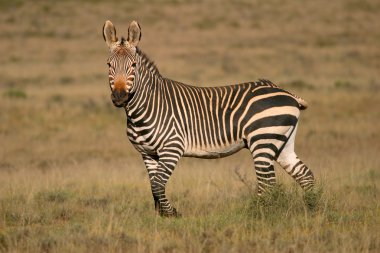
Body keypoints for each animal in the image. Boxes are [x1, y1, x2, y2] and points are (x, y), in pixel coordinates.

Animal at [101, 20, 314, 217]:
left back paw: (258, 215)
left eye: (133, 65)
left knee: (267, 183)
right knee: (304, 175)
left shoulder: (172, 148)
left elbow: (159, 184)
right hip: (282, 142)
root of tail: (286, 93)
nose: (119, 97)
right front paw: (160, 218)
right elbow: (154, 187)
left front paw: (172, 214)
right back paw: (312, 209)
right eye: (109, 65)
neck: (147, 106)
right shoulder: (147, 153)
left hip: (263, 140)